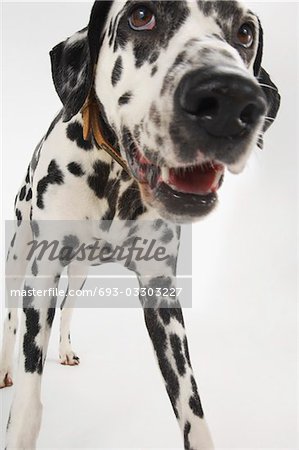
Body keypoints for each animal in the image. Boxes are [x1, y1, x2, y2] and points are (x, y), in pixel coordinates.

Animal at [1, 0, 282, 450]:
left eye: (244, 32)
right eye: (141, 16)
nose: (229, 99)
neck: (115, 181)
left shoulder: (161, 295)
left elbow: (191, 406)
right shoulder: (41, 275)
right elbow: (28, 397)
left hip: (79, 274)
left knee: (69, 307)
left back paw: (65, 348)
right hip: (18, 256)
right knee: (11, 317)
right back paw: (3, 368)